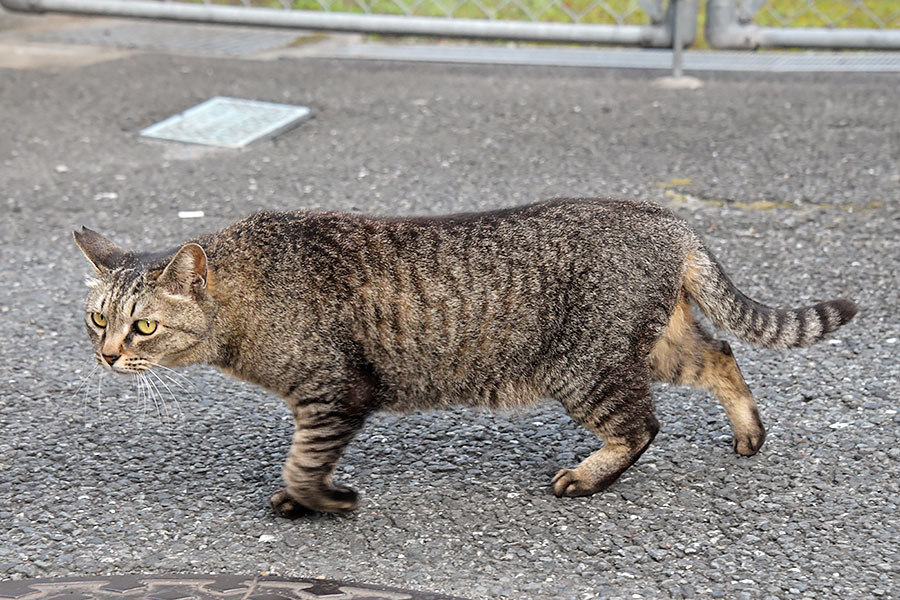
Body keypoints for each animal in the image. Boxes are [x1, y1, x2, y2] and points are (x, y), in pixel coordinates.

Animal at [72, 198, 856, 516]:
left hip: (586, 366)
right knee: (721, 353)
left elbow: (304, 459)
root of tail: (668, 217)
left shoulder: (334, 391)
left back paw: (587, 476)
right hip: (655, 345)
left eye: (143, 327)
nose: (107, 357)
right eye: (97, 319)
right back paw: (749, 432)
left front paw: (315, 500)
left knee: (641, 425)